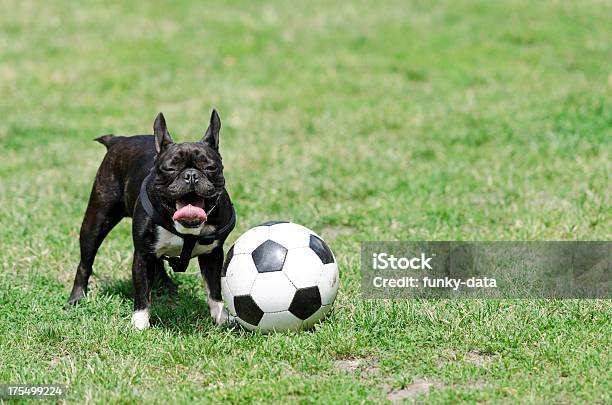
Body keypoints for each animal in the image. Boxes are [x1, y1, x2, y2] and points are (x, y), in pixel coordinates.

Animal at [67, 109, 234, 328]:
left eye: (211, 167)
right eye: (170, 169)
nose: (191, 175)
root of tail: (119, 140)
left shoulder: (212, 254)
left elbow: (214, 288)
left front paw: (221, 316)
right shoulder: (143, 256)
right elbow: (142, 292)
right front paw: (140, 324)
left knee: (160, 261)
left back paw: (167, 285)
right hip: (96, 220)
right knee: (85, 262)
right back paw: (76, 298)